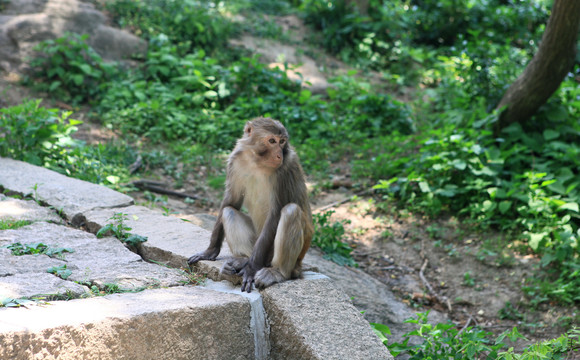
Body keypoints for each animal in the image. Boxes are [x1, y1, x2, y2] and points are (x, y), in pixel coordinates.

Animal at [188, 117, 312, 292]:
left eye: (282, 142)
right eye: (272, 141)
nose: (279, 155)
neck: (257, 161)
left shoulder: (286, 168)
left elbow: (275, 214)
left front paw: (251, 268)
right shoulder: (235, 160)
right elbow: (231, 202)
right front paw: (210, 251)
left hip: (282, 257)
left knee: (291, 211)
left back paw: (276, 272)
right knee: (229, 211)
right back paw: (242, 260)